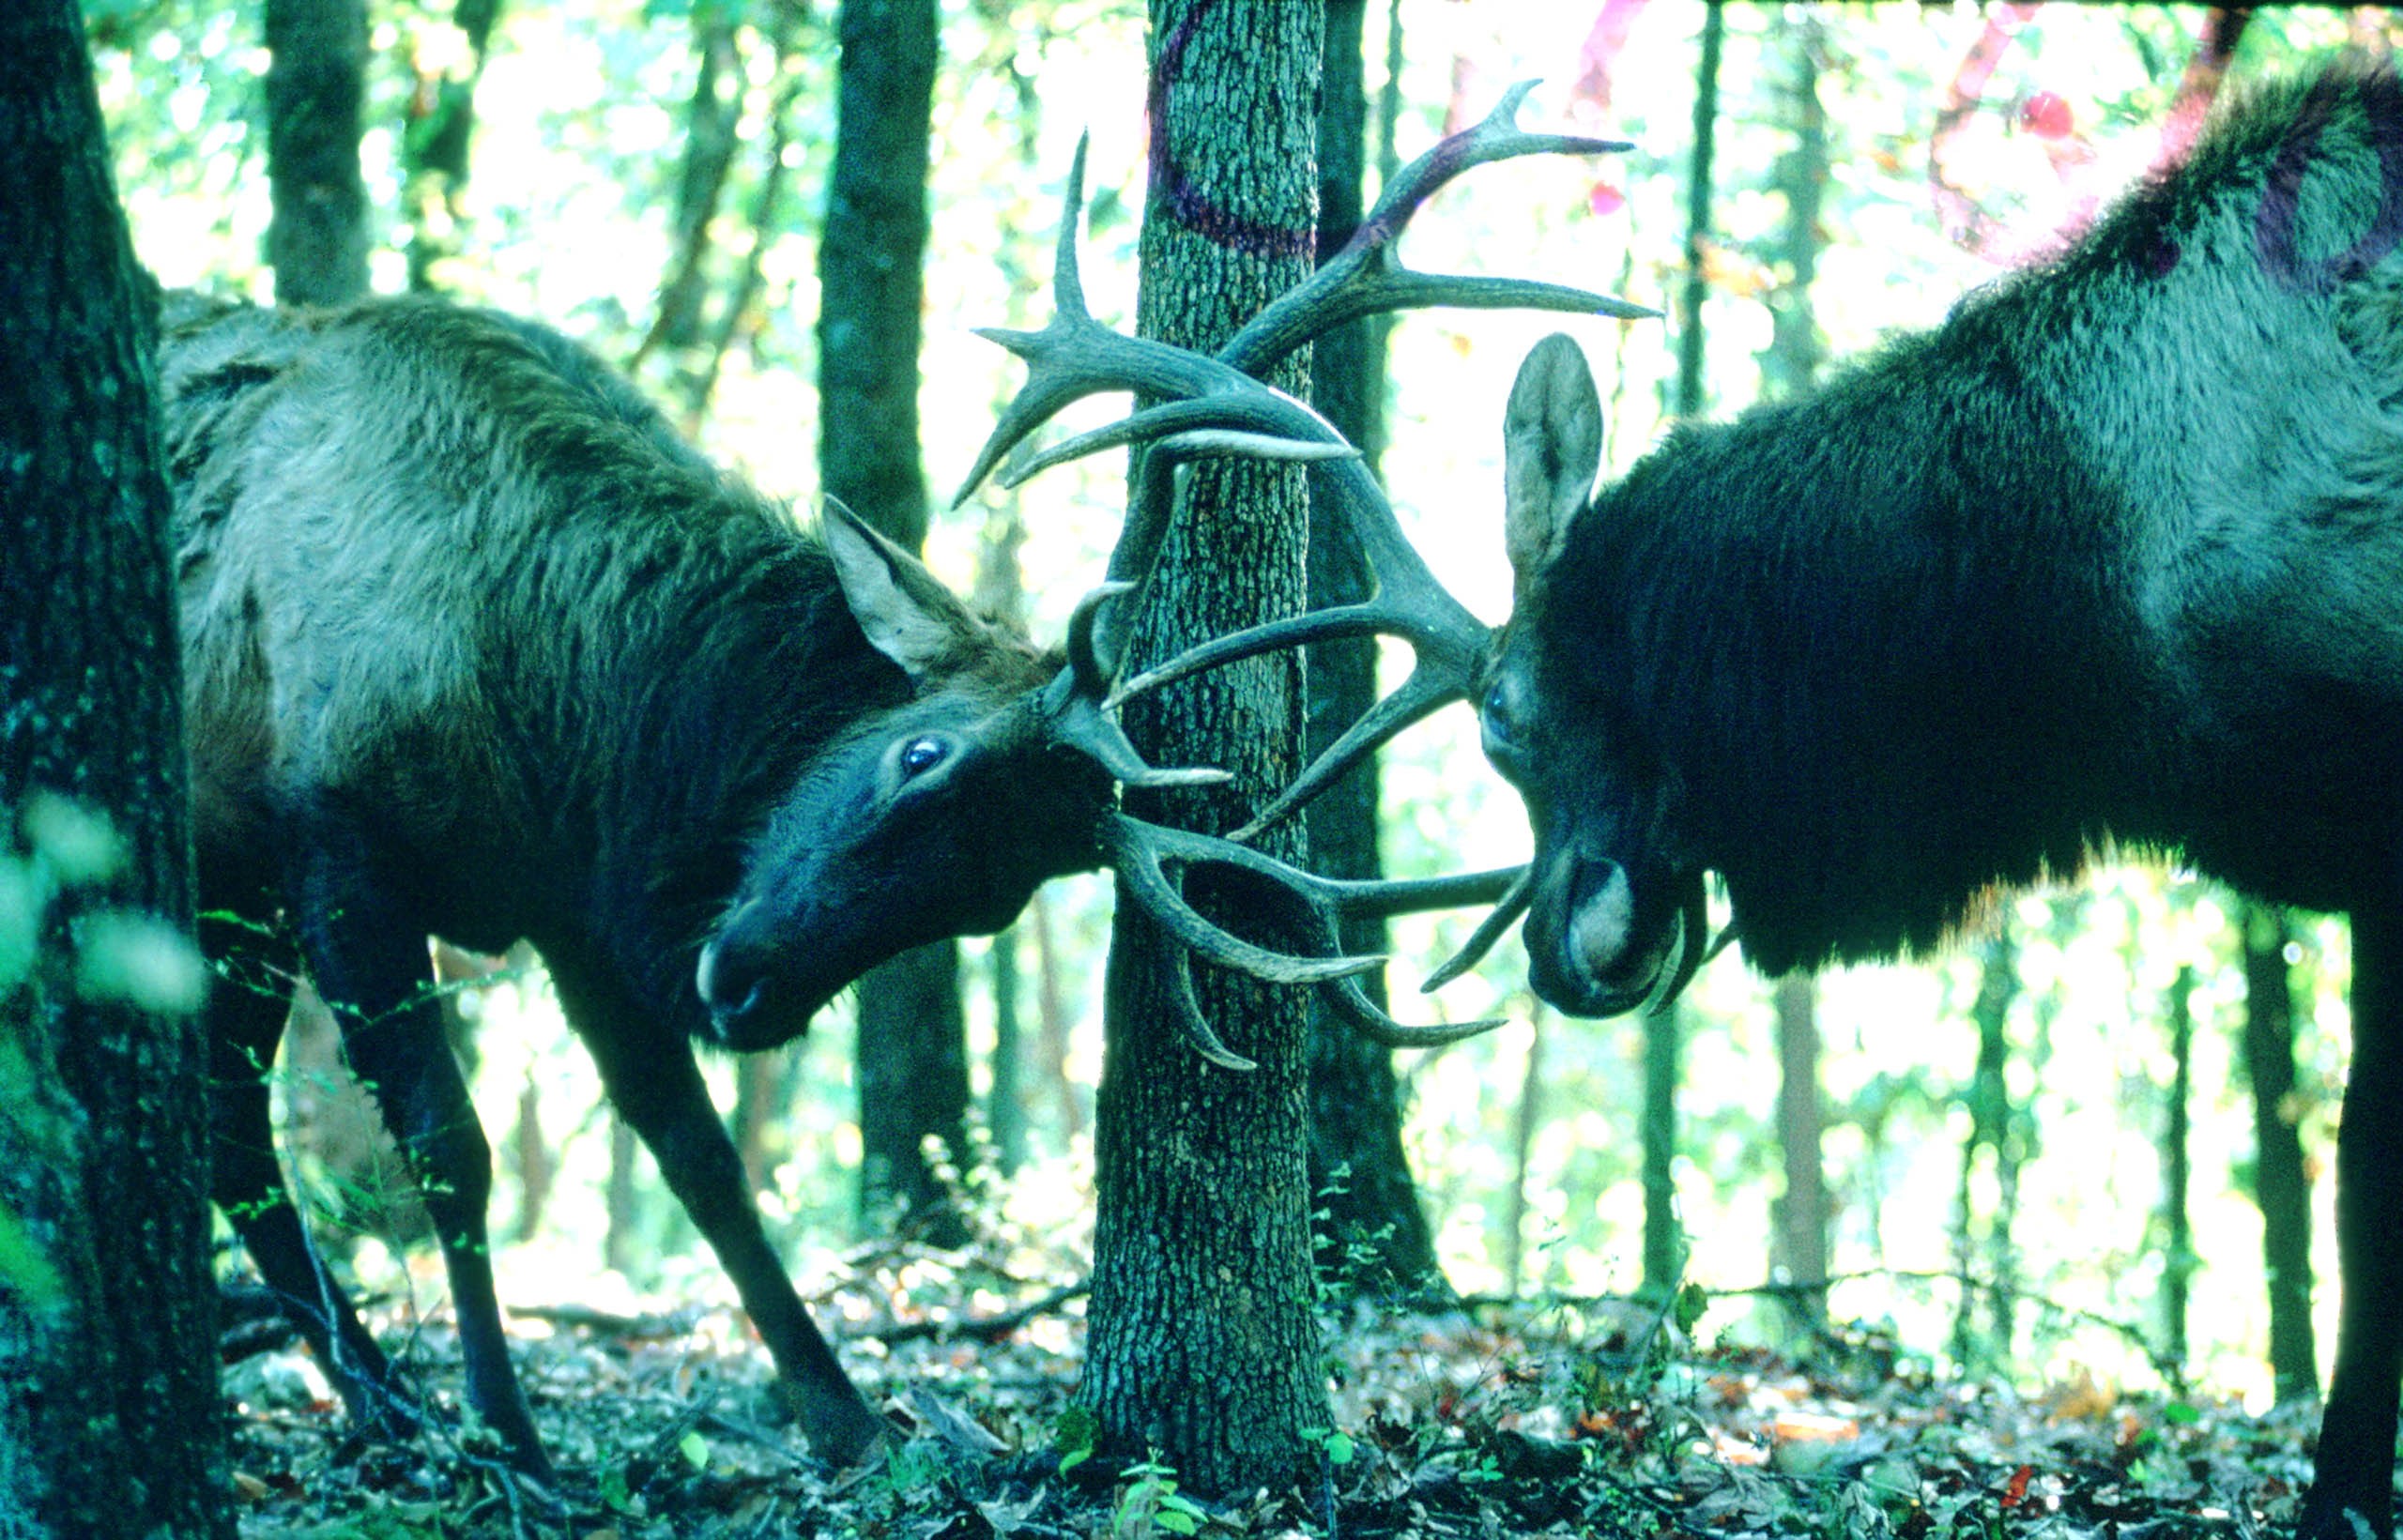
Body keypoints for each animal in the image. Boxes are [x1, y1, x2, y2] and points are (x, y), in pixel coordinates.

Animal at [164, 84, 1634, 1483]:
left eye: (991, 899)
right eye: (918, 753)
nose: (742, 986)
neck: (569, 715)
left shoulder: (570, 909)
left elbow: (701, 1157)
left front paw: (846, 1417)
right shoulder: (334, 833)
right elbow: (449, 1147)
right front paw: (511, 1433)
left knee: (227, 1121)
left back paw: (363, 1386)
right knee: (234, 1118)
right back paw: (378, 1391)